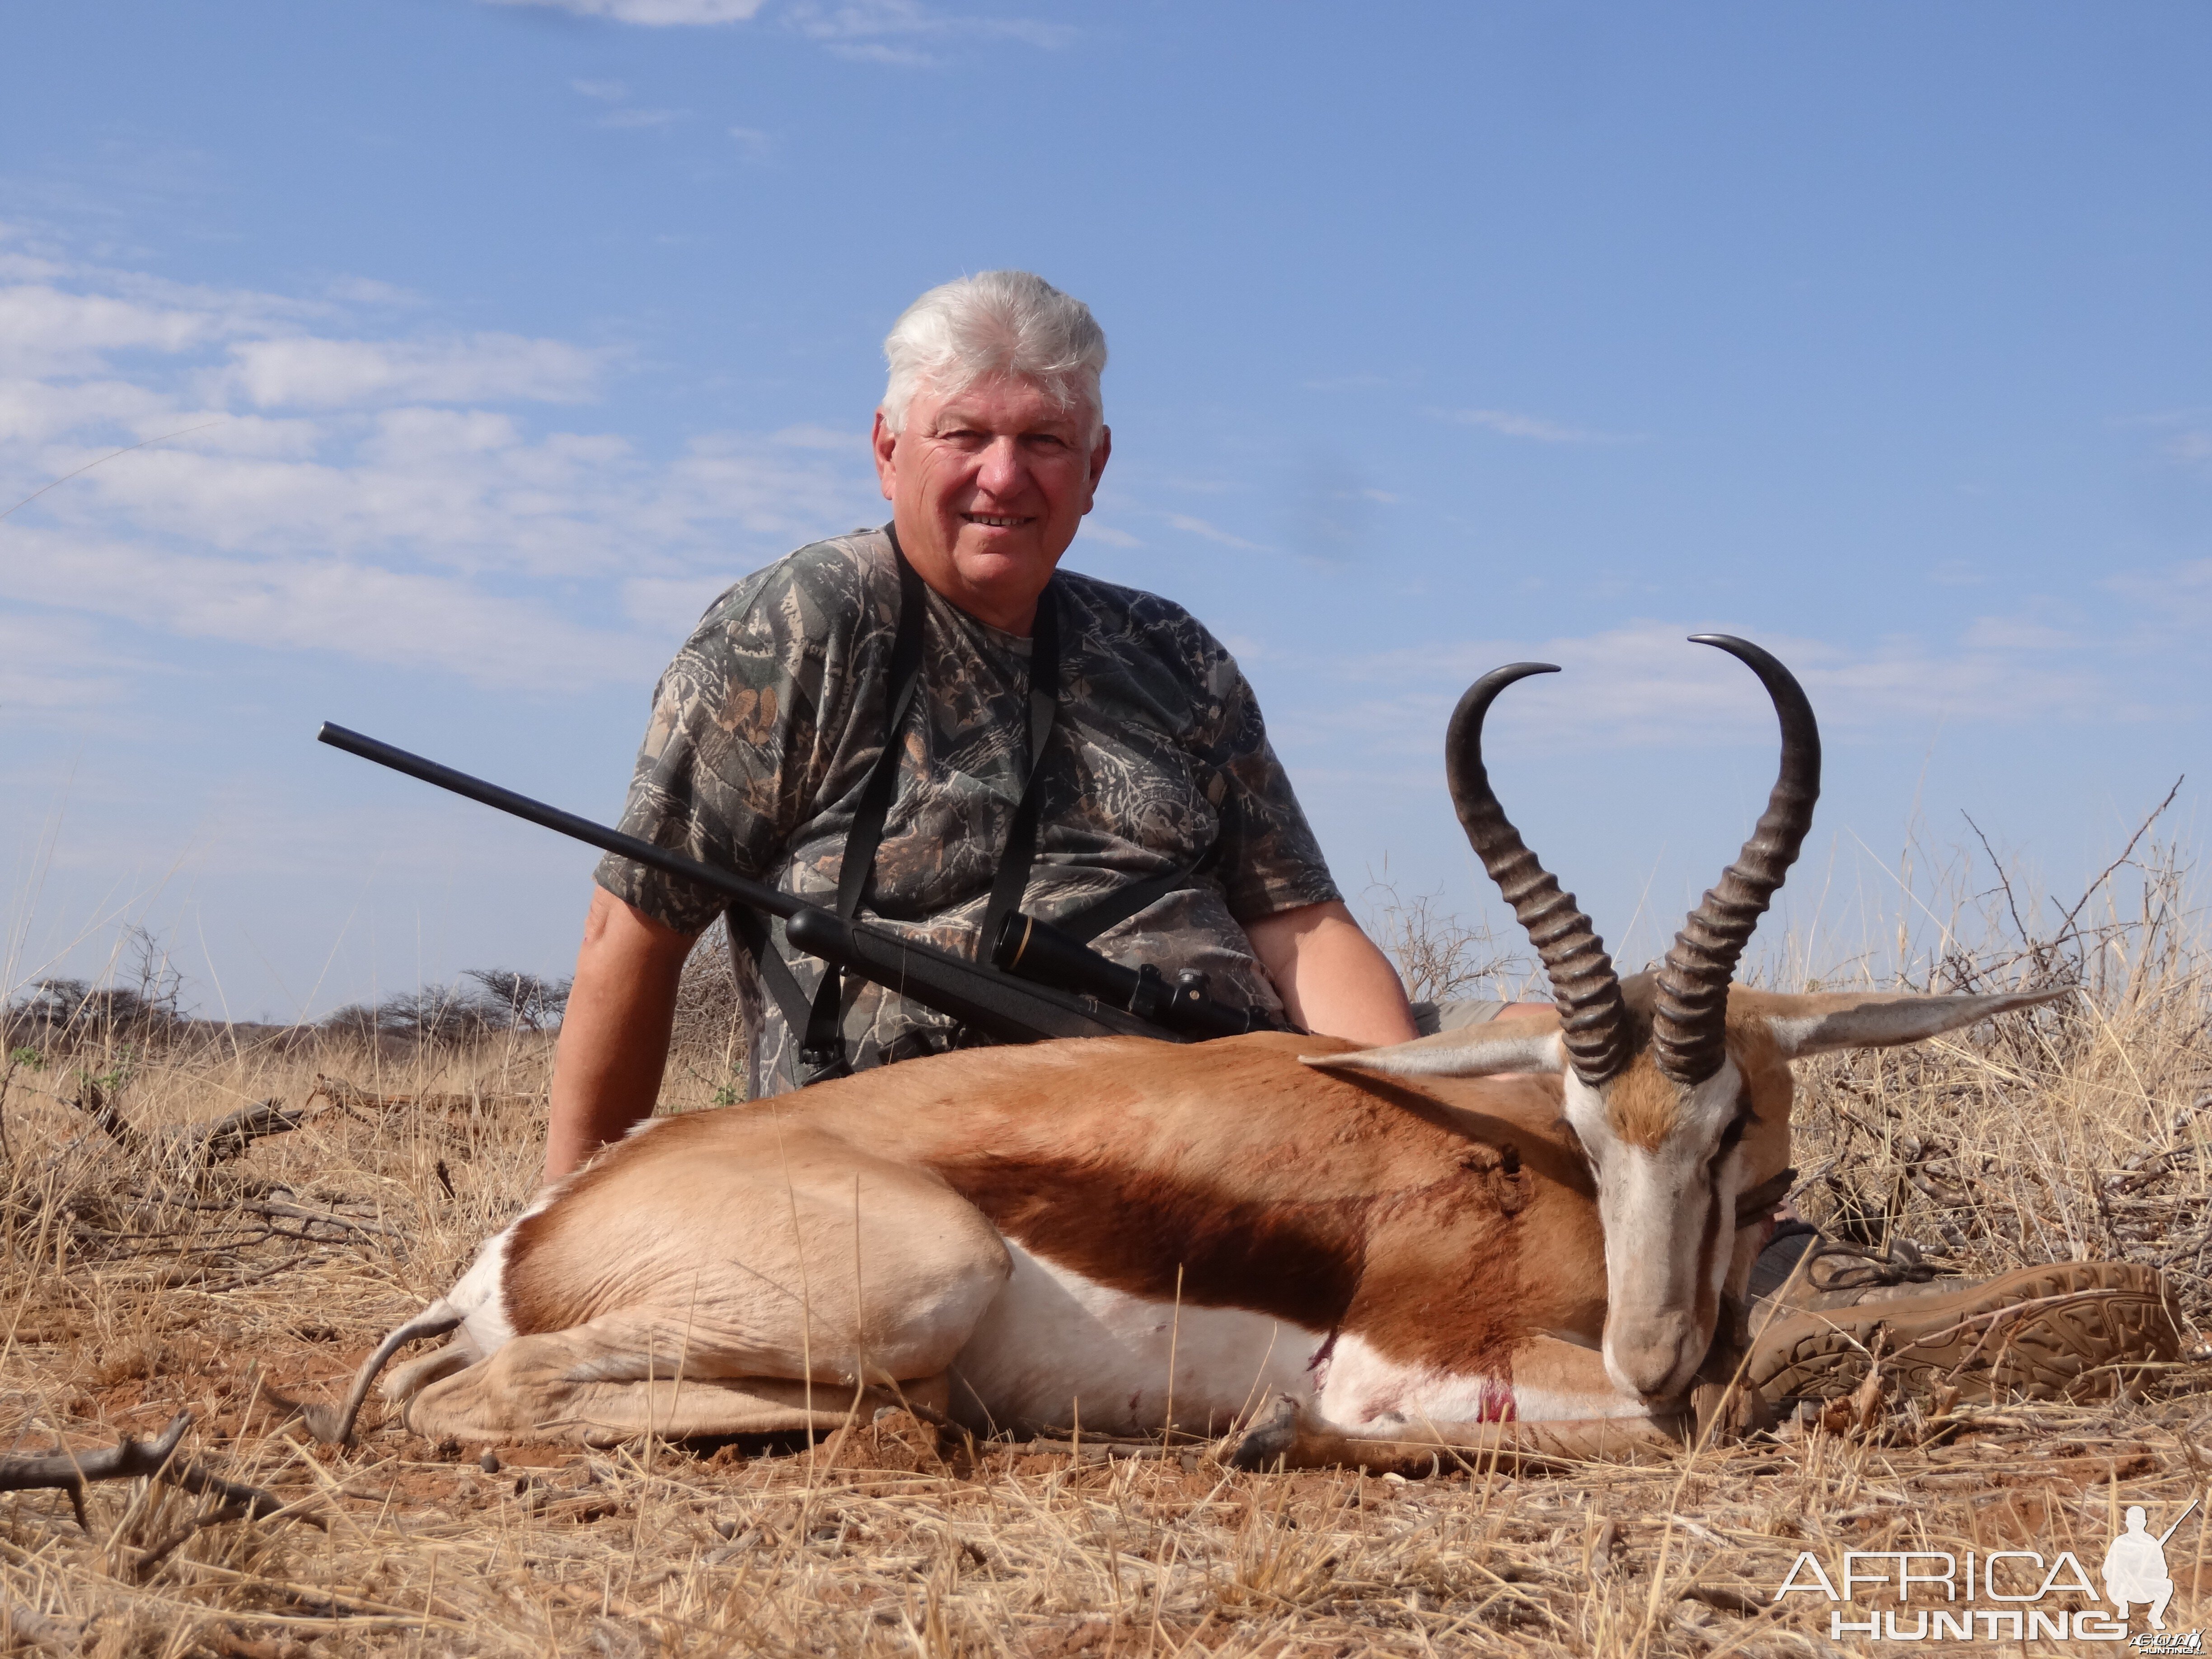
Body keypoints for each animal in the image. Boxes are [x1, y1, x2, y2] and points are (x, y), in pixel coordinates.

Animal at [320, 637, 2062, 1468]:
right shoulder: (1419, 1358)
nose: (1653, 1348)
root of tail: (530, 1237)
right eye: (1582, 1120)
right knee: (468, 1397)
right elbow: (1644, 1432)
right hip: (922, 1275)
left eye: (1738, 1134)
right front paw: (1288, 1432)